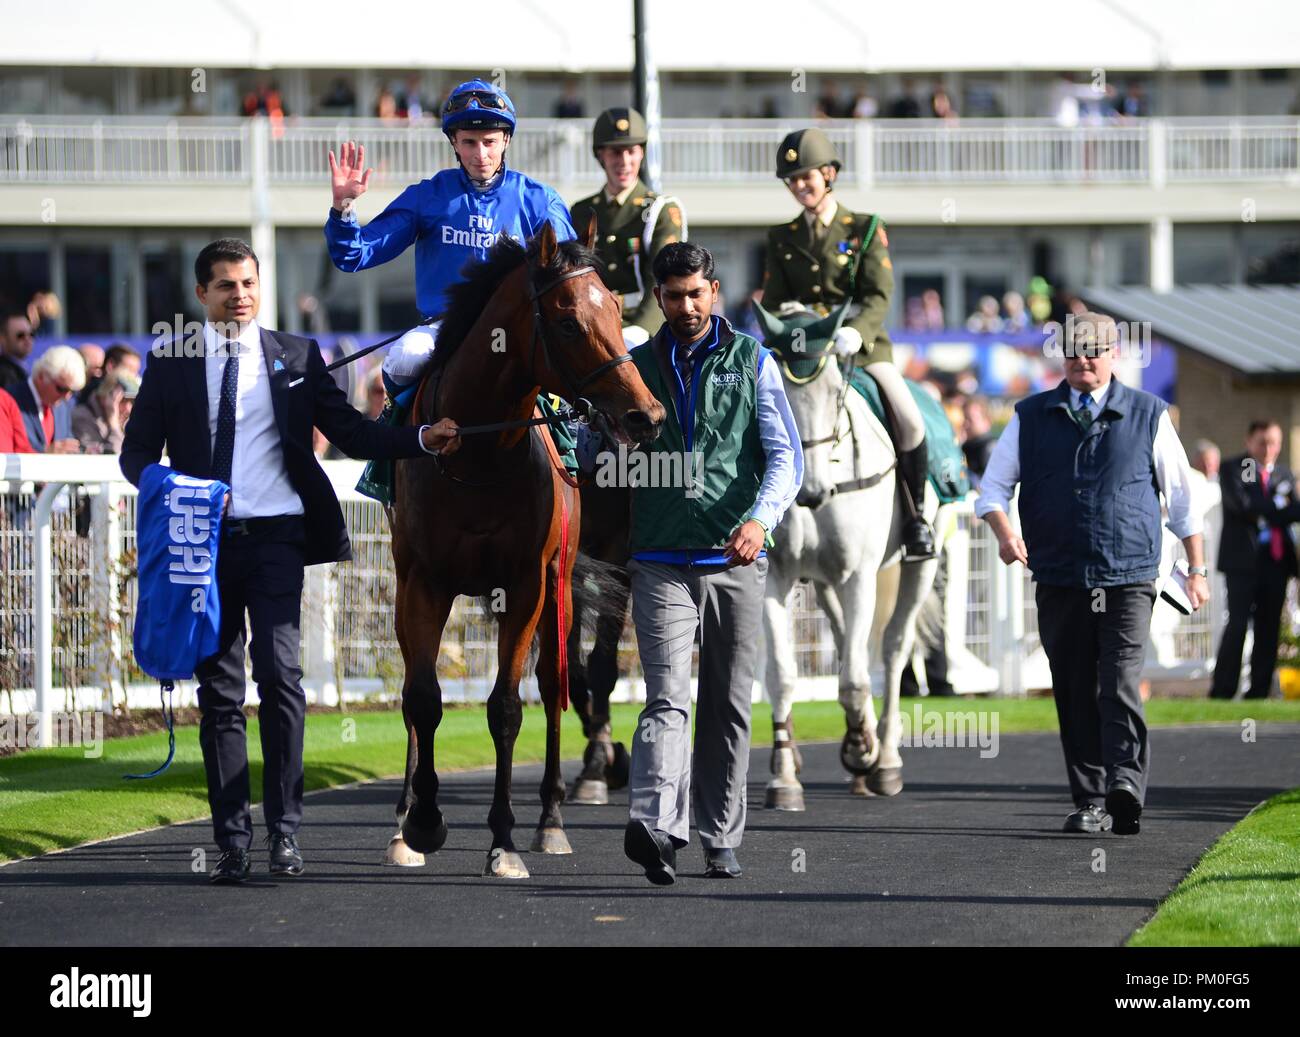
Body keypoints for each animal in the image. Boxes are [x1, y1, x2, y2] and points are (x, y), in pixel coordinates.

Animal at [384, 223, 665, 883]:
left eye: (615, 309)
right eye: (567, 321)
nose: (646, 414)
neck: (475, 455)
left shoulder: (527, 583)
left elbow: (509, 707)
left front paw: (504, 840)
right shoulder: (422, 582)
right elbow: (422, 698)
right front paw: (422, 820)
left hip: (558, 583)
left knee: (558, 680)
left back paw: (552, 819)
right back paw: (404, 818)